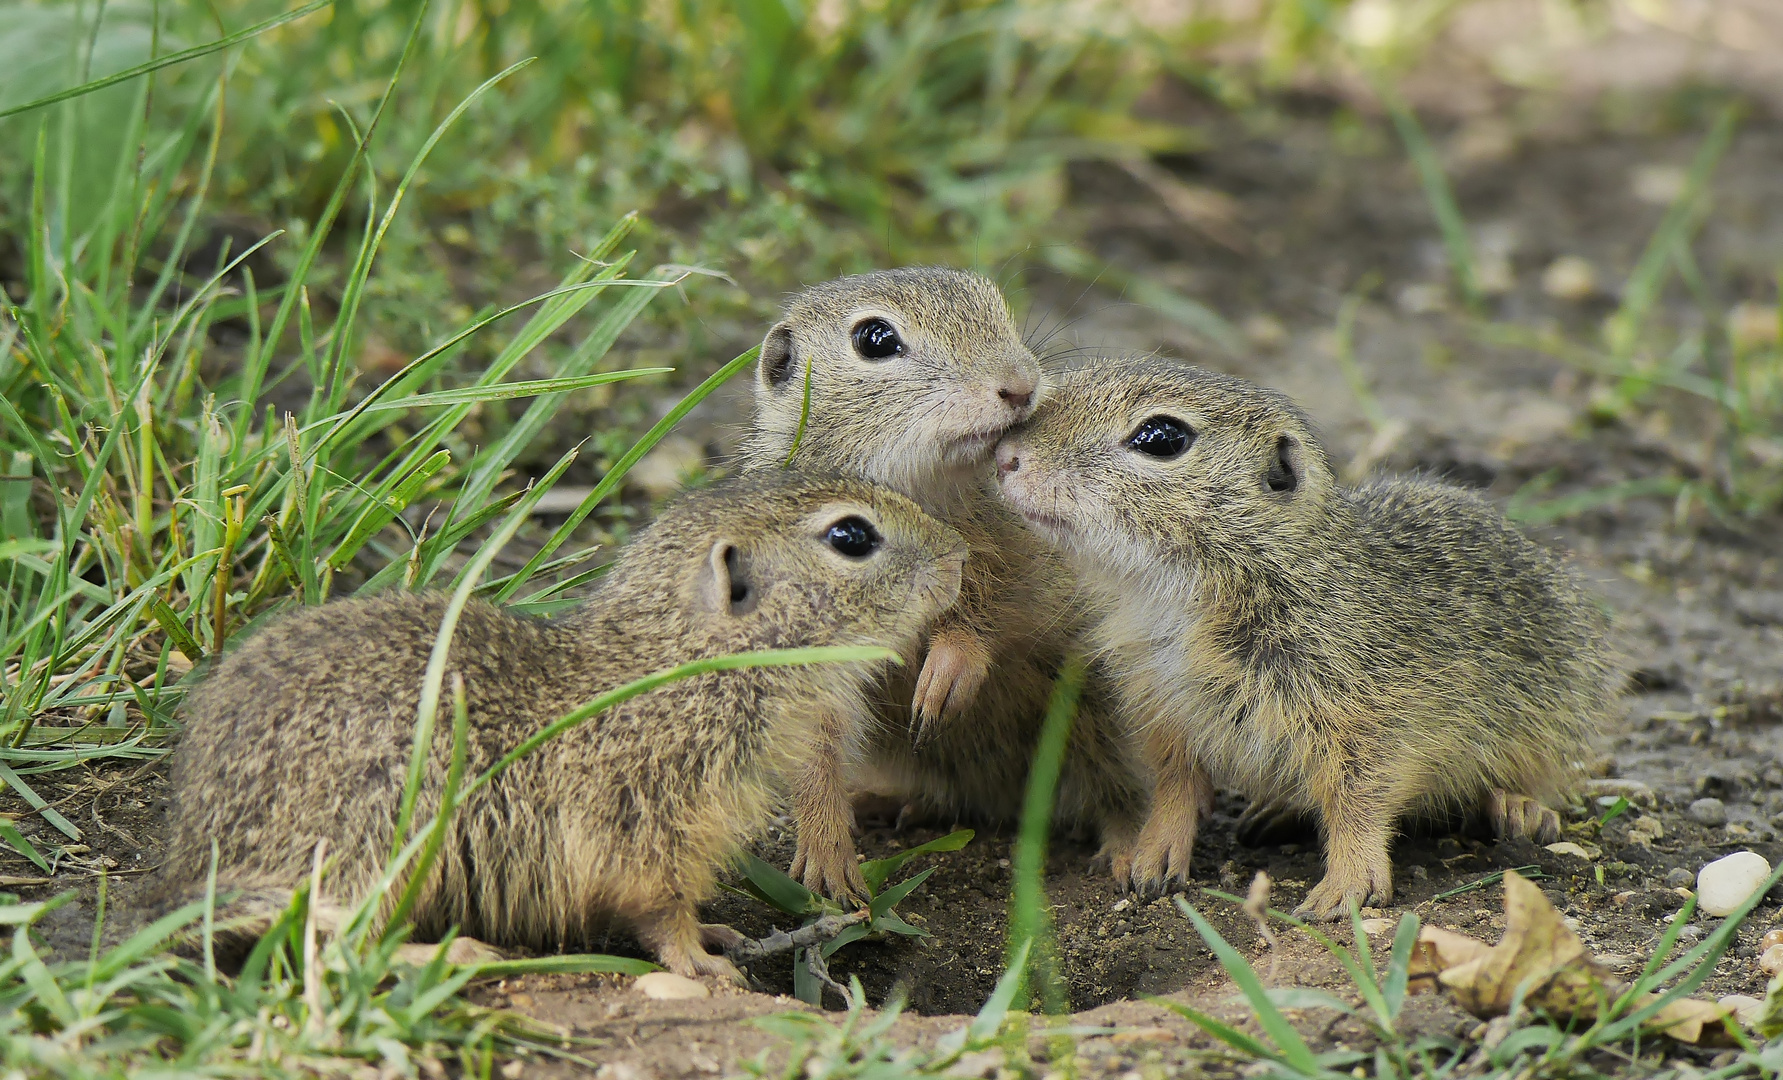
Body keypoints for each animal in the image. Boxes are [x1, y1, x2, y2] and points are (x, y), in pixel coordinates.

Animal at [156, 474, 962, 983]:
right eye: (851, 535)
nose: (960, 555)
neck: (685, 668)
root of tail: (193, 857)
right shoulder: (643, 828)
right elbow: (660, 913)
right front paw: (700, 964)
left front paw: (715, 937)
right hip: (376, 843)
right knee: (326, 941)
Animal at [734, 267, 1141, 901]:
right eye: (875, 339)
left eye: (995, 302)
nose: (1021, 386)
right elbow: (815, 748)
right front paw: (826, 860)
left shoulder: (1026, 560)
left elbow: (995, 609)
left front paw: (949, 669)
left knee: (1119, 787)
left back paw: (1126, 847)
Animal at [998, 360, 1626, 919]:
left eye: (1161, 438)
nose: (1006, 458)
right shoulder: (1164, 713)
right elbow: (1174, 789)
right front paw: (1152, 854)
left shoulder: (1373, 722)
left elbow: (1359, 802)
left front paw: (1348, 884)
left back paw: (1519, 808)